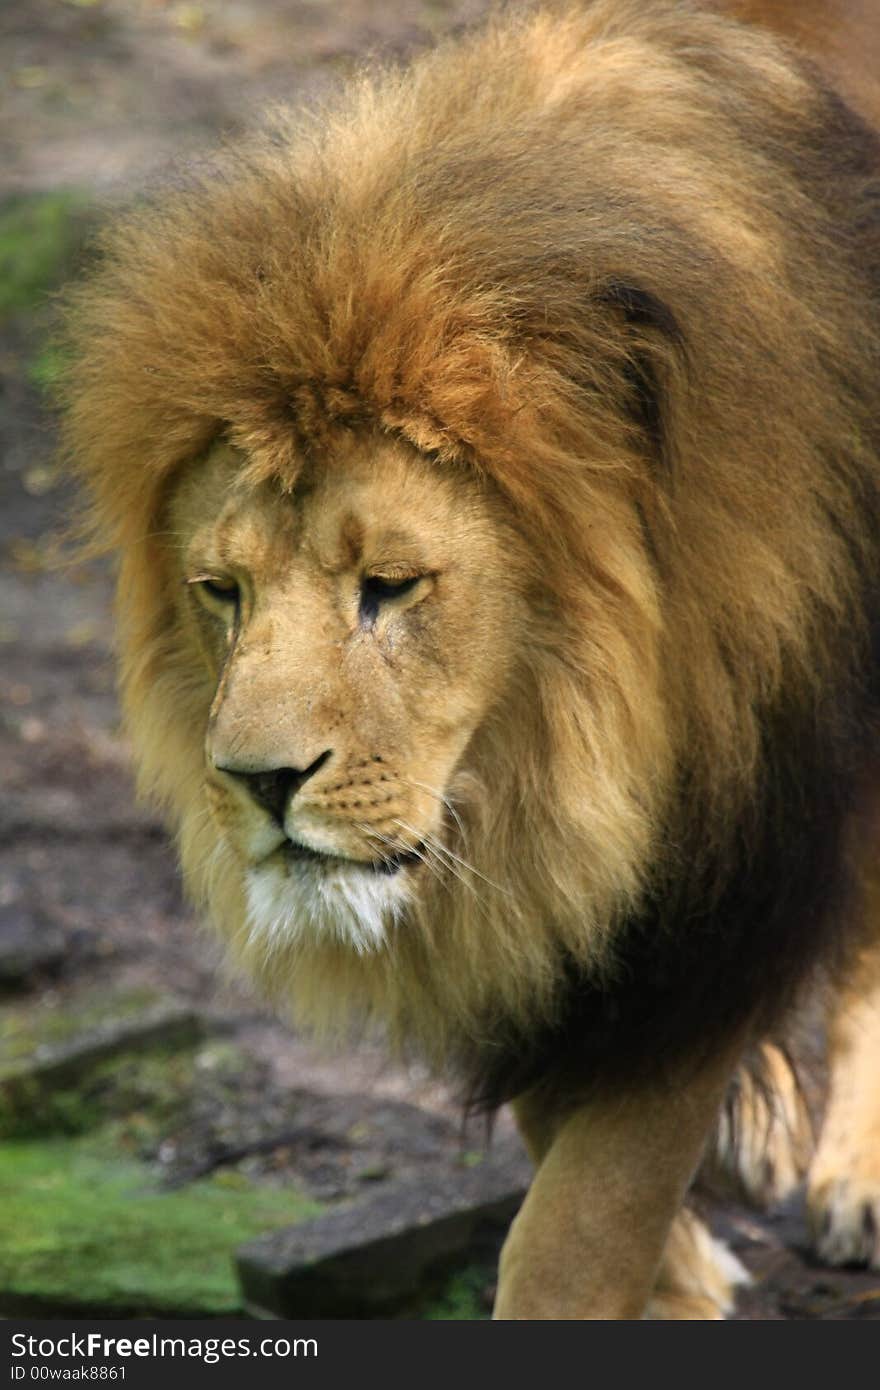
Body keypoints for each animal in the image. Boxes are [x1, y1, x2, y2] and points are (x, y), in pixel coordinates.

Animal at [60, 0, 878, 1317]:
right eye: (222, 592)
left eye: (389, 586)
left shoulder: (724, 865)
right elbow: (558, 1127)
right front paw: (679, 1276)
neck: (554, 750)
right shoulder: (529, 914)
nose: (255, 783)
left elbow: (580, 1220)